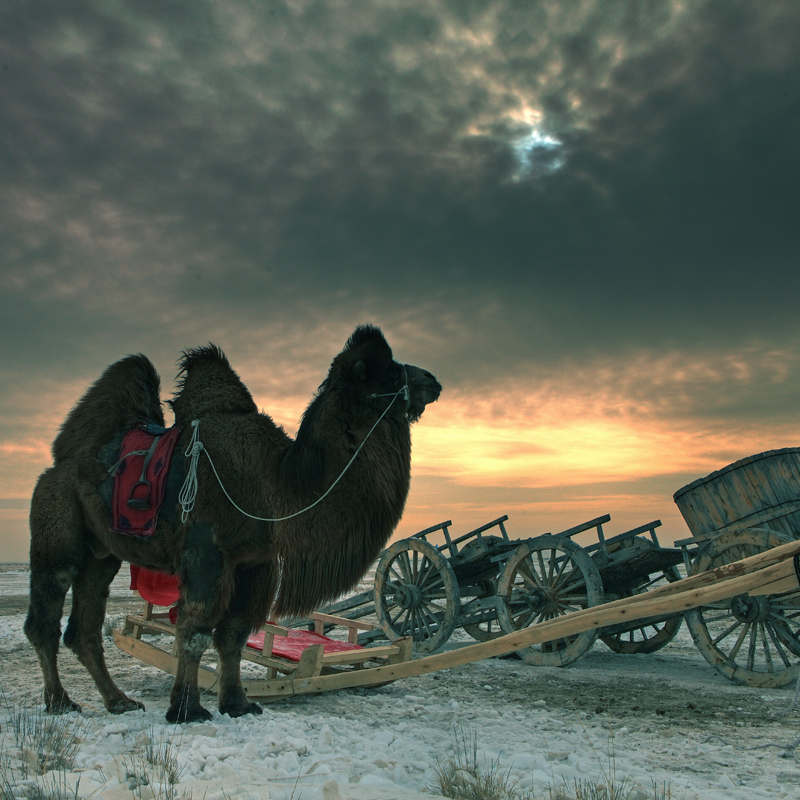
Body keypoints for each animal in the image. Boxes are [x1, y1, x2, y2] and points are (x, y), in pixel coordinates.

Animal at [25, 322, 440, 720]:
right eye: (389, 371)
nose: (432, 380)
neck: (278, 482)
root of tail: (53, 469)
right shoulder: (207, 550)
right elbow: (194, 630)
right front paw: (188, 710)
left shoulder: (256, 562)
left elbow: (234, 635)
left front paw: (238, 704)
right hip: (55, 530)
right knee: (46, 615)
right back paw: (60, 702)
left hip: (102, 555)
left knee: (84, 628)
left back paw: (119, 702)